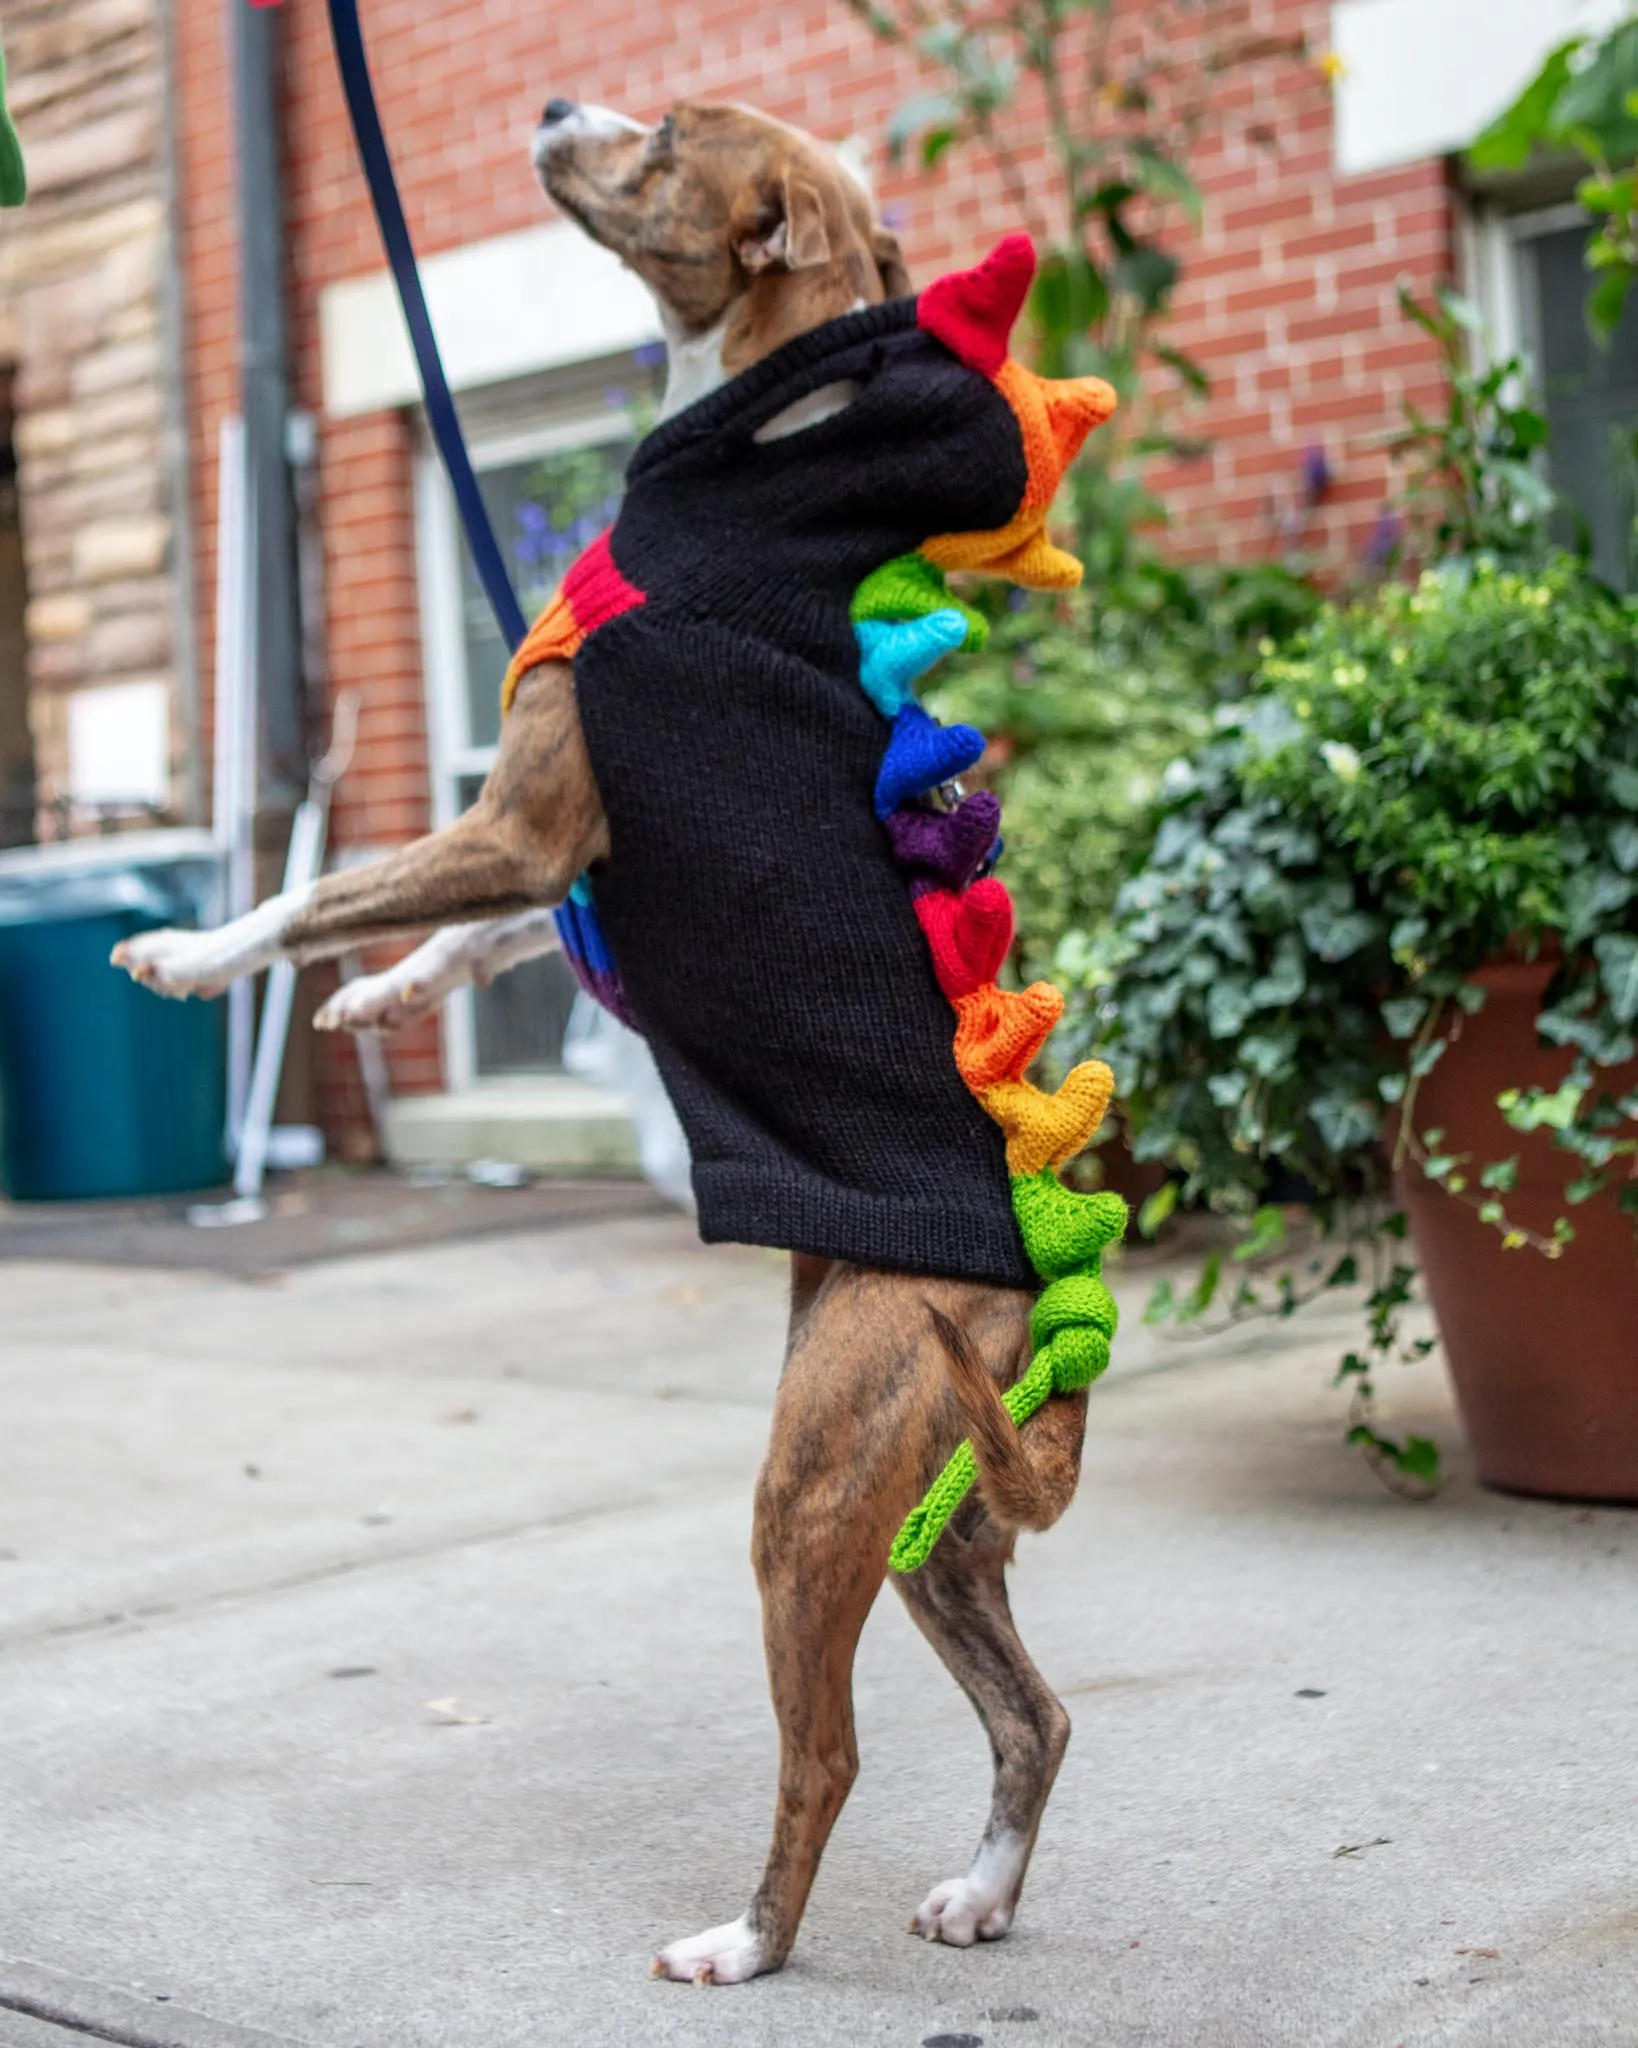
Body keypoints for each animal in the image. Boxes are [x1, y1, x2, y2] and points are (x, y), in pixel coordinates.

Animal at [112, 99, 1089, 1982]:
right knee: (1035, 1714)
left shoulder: (529, 816)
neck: (770, 461)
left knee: (827, 1750)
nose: (559, 106)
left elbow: (318, 889)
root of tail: (1034, 1299)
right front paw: (378, 1002)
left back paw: (746, 1943)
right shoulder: (559, 862)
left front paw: (194, 952)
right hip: (934, 1527)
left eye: (676, 137)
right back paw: (987, 1891)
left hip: (811, 1489)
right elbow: (448, 934)